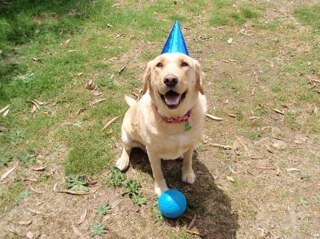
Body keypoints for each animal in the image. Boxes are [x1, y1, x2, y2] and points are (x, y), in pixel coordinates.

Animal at [116, 53, 206, 197]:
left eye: (184, 64)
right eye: (159, 65)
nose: (170, 80)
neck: (174, 119)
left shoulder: (191, 143)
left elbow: (188, 160)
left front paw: (188, 173)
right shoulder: (152, 152)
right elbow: (157, 172)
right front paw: (161, 188)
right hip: (126, 135)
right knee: (127, 148)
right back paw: (123, 160)